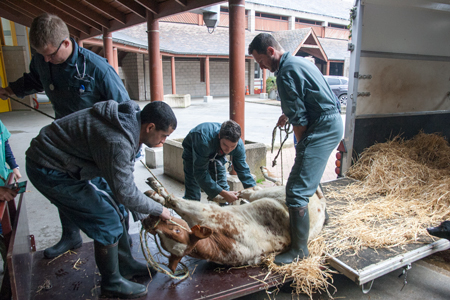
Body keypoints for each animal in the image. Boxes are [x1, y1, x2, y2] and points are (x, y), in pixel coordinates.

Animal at [144, 177, 326, 274]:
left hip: (270, 193)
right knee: (248, 190)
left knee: (249, 191)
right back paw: (221, 195)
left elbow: (174, 201)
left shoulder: (209, 212)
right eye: (162, 243)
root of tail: (320, 205)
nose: (148, 222)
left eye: (176, 230)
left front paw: (157, 192)